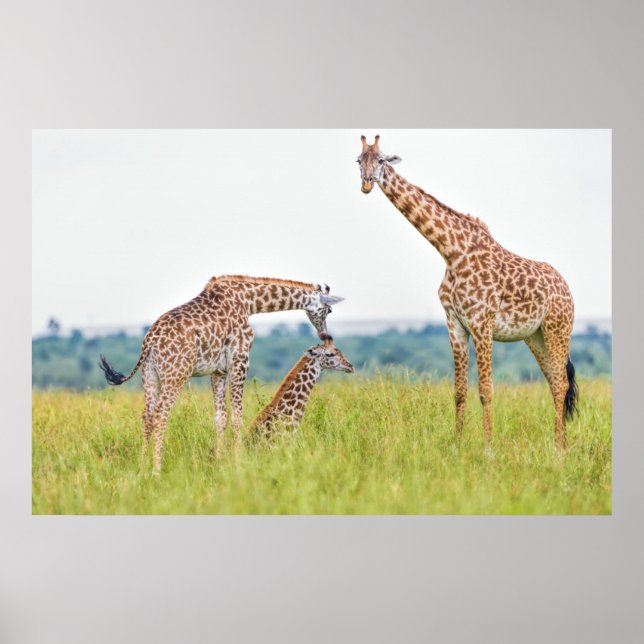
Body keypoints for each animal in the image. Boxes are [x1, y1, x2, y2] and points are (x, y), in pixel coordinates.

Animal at [99, 275, 344, 472]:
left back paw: (142, 465)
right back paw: (156, 470)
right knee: (161, 416)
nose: (325, 335)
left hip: (150, 376)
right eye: (329, 310)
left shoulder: (218, 370)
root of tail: (149, 342)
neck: (249, 302)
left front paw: (220, 460)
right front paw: (238, 460)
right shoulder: (240, 360)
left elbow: (220, 418)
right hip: (176, 375)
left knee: (147, 416)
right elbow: (237, 416)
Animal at [357, 135, 578, 448]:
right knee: (556, 382)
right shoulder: (455, 323)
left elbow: (486, 391)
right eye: (358, 160)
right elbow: (459, 391)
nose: (366, 184)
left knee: (561, 384)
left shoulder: (482, 322)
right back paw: (563, 446)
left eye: (381, 160)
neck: (451, 252)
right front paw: (458, 445)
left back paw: (559, 450)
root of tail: (566, 288)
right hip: (534, 336)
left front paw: (488, 449)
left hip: (557, 329)